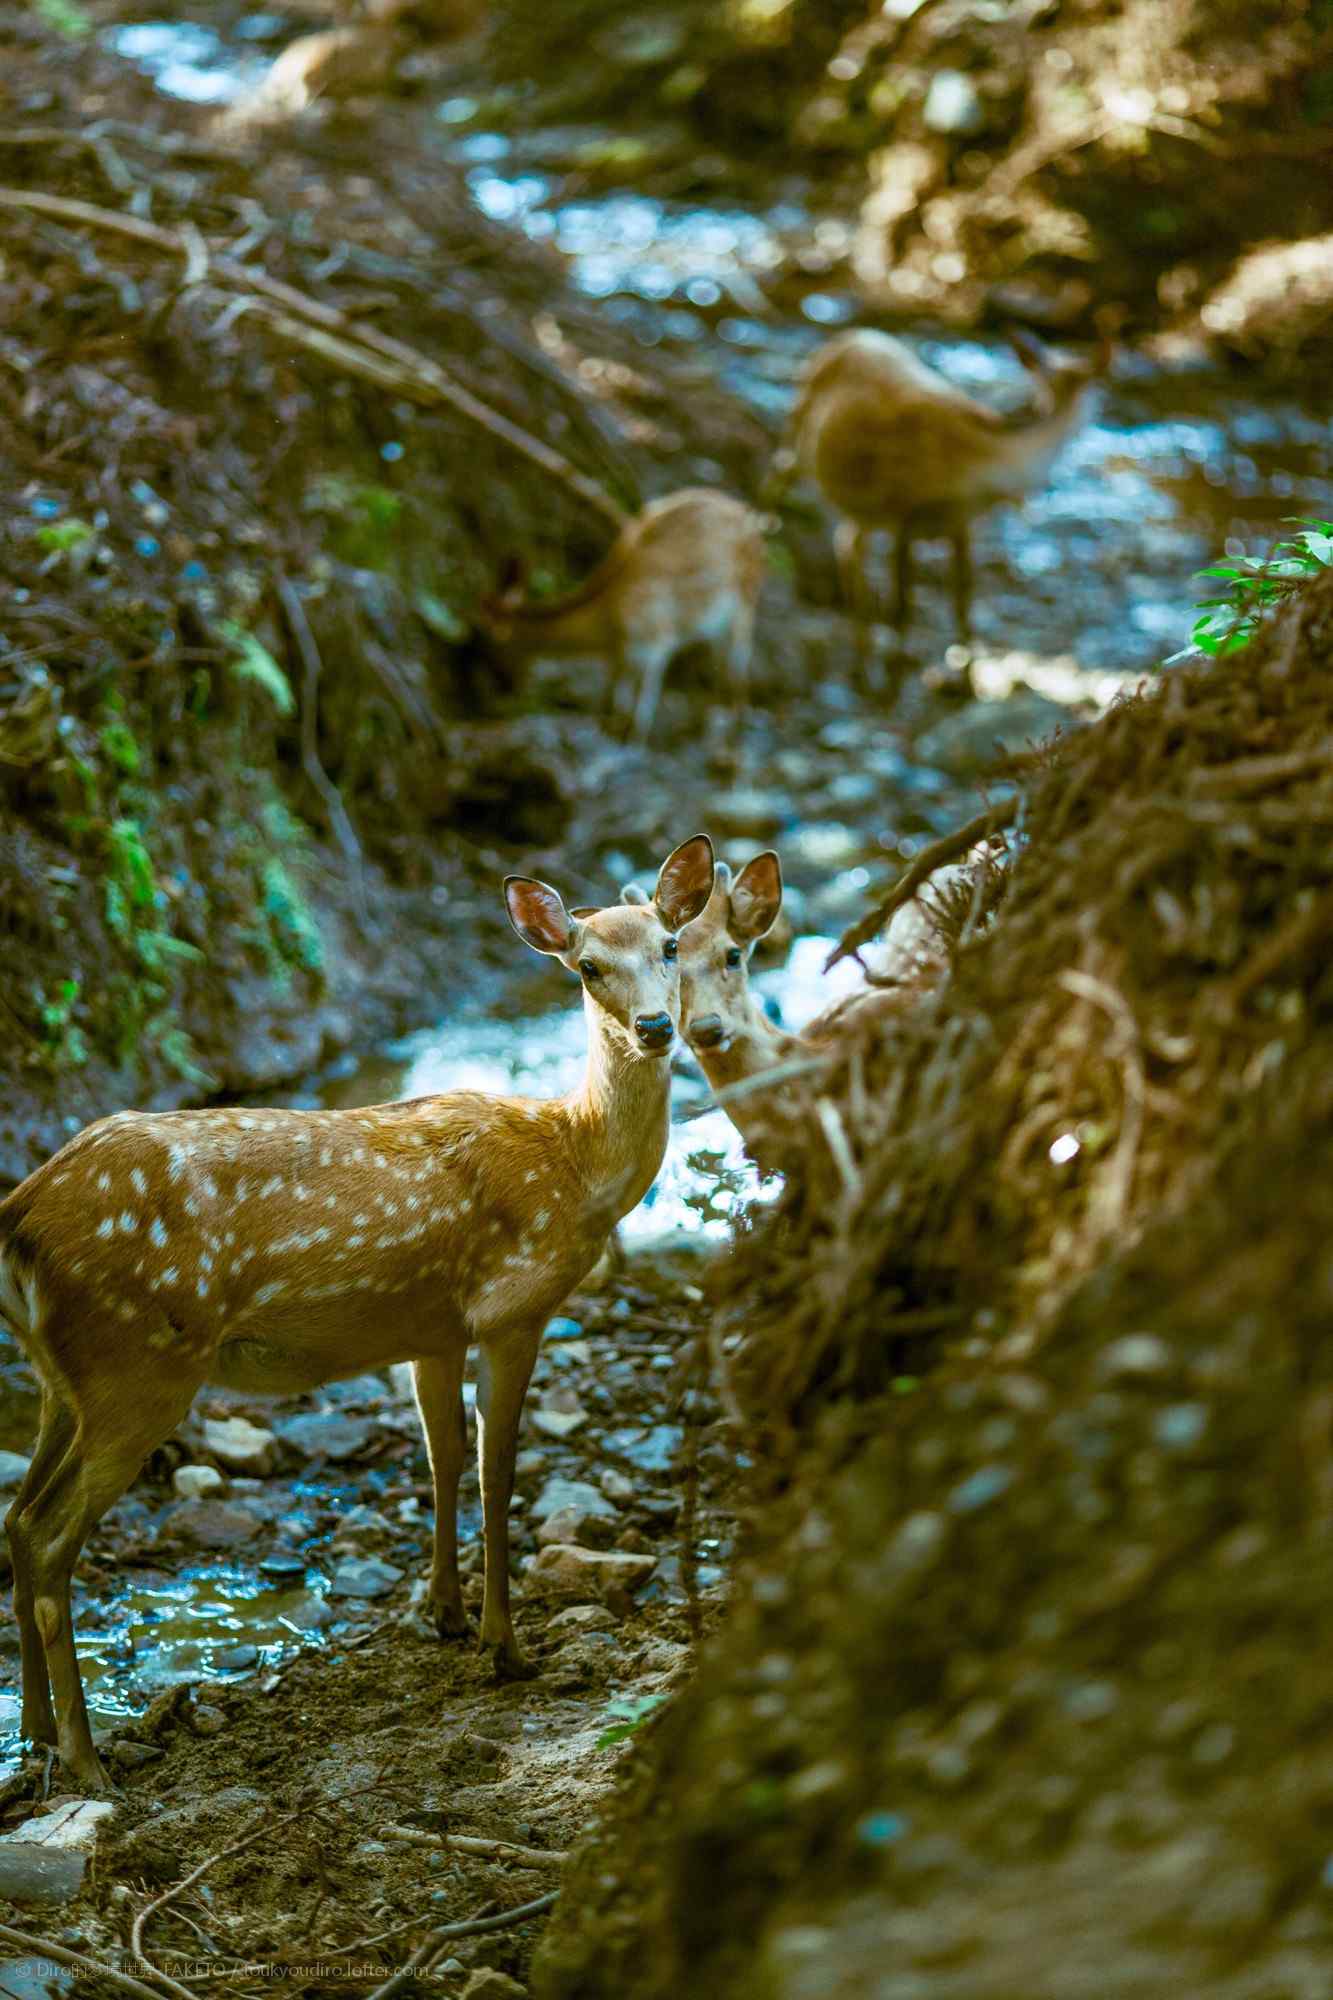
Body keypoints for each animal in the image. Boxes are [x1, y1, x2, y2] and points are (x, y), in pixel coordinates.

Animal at [0, 836, 716, 1792]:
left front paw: (445, 1615)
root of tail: (20, 1216)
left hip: (62, 1377)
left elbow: (442, 1459)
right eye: (588, 967)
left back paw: (35, 1736)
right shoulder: (512, 1308)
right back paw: (85, 1760)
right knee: (49, 1539)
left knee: (15, 1520)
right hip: (136, 1368)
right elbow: (496, 1470)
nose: (655, 1028)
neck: (573, 1165)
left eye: (670, 946)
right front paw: (506, 1647)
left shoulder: (430, 1330)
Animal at [478, 488, 768, 748]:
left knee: (738, 669)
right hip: (717, 627)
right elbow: (616, 699)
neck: (607, 624)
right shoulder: (618, 658)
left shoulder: (655, 642)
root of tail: (754, 520)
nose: (489, 696)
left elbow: (643, 702)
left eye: (487, 643)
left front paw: (634, 743)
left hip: (746, 604)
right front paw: (610, 731)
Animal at [772, 328, 1096, 640]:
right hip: (797, 434)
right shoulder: (903, 511)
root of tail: (844, 338)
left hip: (863, 509)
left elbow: (963, 603)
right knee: (780, 473)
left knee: (847, 541)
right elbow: (902, 612)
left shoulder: (961, 522)